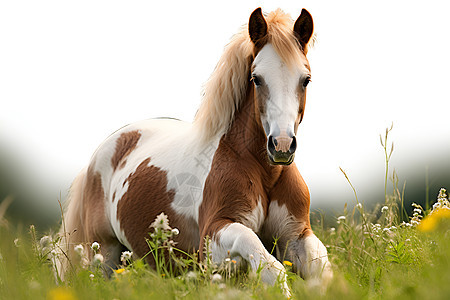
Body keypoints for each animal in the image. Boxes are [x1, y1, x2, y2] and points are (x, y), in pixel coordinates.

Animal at [59, 7, 332, 296]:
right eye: (256, 78)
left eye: (306, 79)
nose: (281, 145)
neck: (265, 174)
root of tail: (98, 156)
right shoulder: (213, 239)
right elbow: (263, 258)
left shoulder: (296, 235)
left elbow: (321, 268)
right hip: (104, 254)